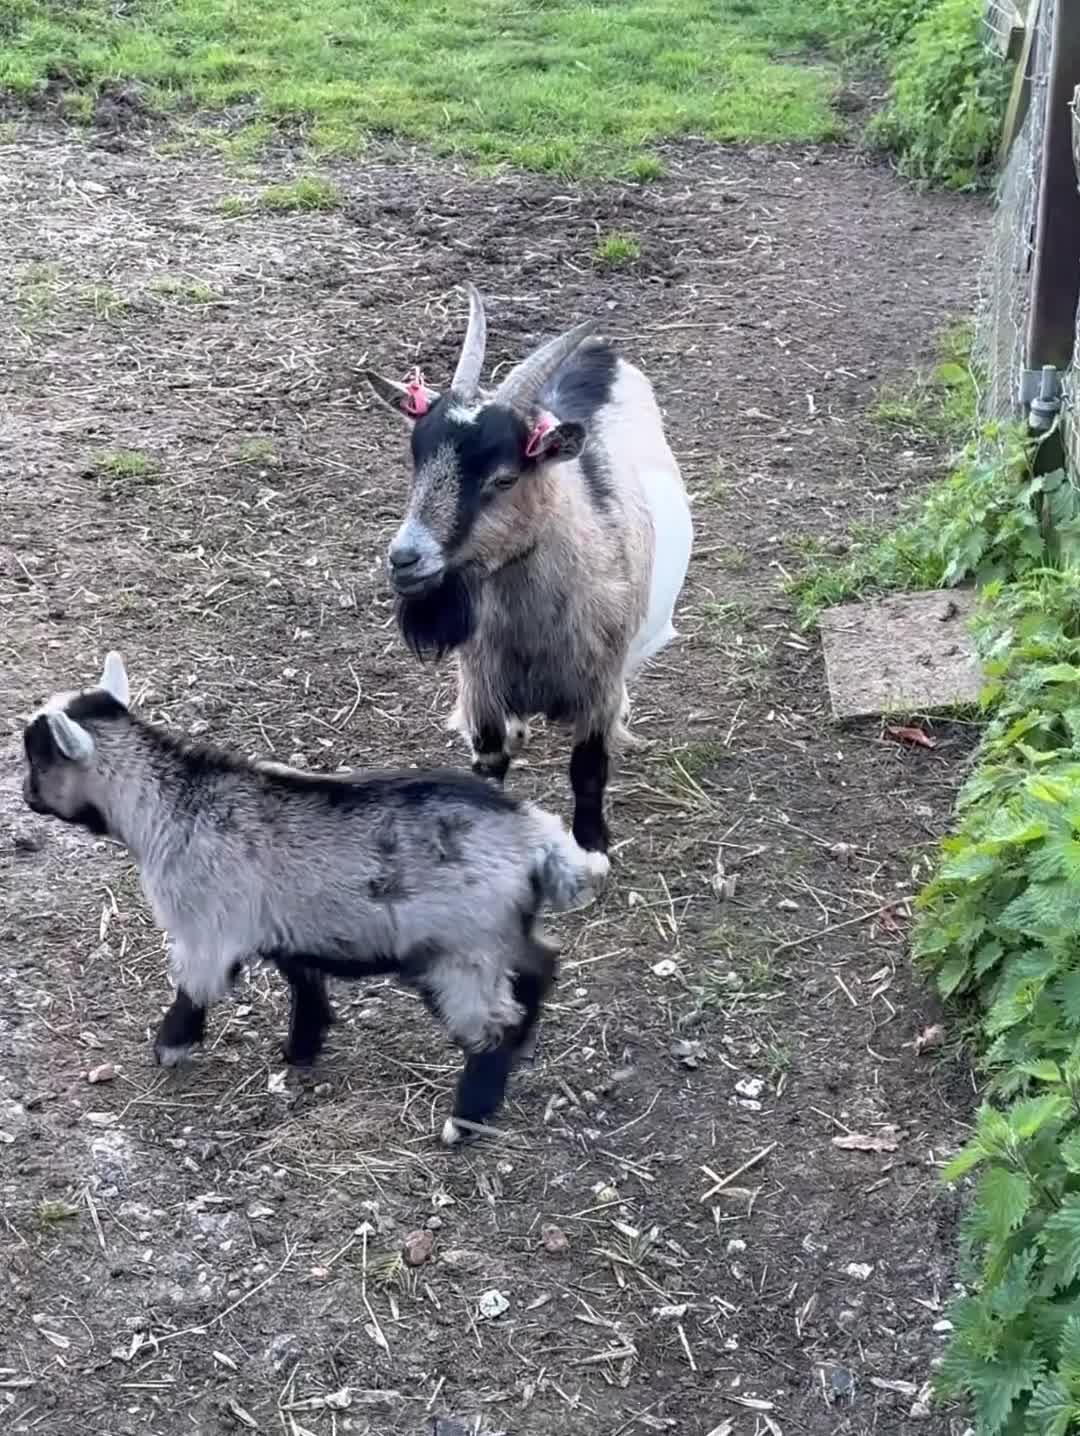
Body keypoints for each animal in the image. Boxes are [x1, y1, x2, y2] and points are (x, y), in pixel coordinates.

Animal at [20, 652, 609, 1143]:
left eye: (38, 762)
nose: (26, 797)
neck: (171, 803)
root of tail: (532, 836)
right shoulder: (288, 926)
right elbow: (304, 984)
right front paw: (301, 1049)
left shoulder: (203, 927)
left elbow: (193, 990)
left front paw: (171, 1047)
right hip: (502, 931)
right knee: (540, 964)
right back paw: (525, 1040)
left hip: (461, 954)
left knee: (492, 1027)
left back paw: (467, 1119)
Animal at [366, 284, 692, 854]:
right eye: (416, 462)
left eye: (503, 478)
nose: (406, 558)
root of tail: (598, 352)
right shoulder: (480, 679)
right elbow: (489, 761)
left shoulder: (598, 685)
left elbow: (588, 769)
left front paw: (592, 849)